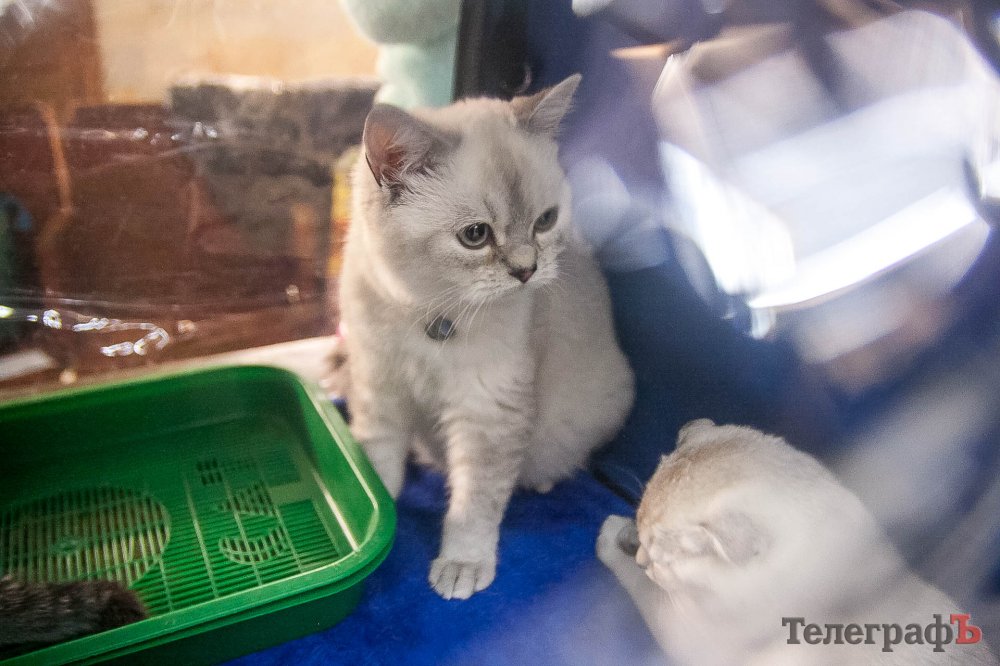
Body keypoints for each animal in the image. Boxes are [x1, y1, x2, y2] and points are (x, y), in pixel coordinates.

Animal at [338, 73, 635, 599]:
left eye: (545, 221)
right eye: (475, 235)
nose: (527, 271)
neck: (429, 314)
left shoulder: (487, 411)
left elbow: (474, 504)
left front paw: (462, 566)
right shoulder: (379, 390)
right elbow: (378, 465)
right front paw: (379, 516)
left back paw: (537, 481)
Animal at [597, 419, 997, 665]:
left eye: (663, 560)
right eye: (649, 548)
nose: (643, 561)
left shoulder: (686, 635)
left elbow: (643, 590)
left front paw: (610, 537)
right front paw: (625, 535)